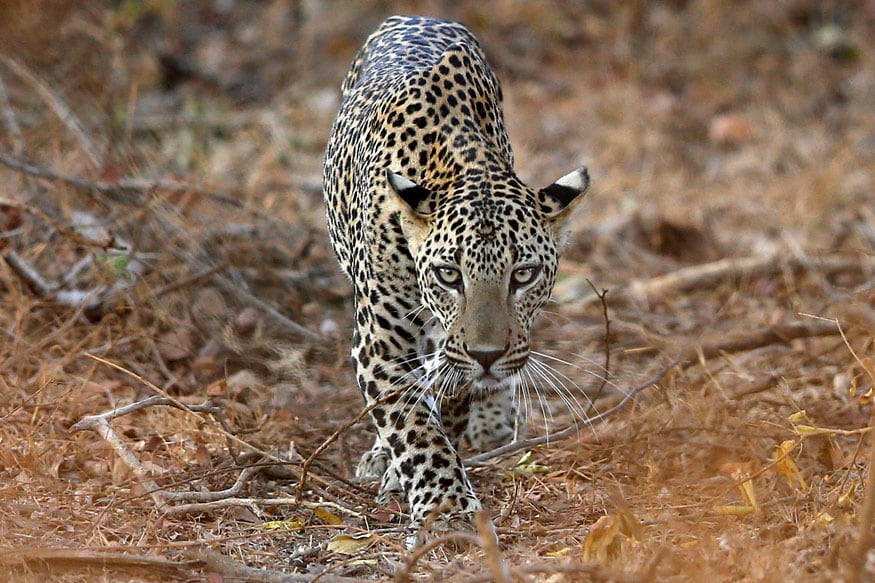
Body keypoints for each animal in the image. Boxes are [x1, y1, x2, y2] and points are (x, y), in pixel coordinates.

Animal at [322, 16, 588, 548]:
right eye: (449, 274)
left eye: (523, 275)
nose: (486, 355)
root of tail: (416, 16)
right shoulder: (380, 342)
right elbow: (415, 428)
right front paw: (443, 506)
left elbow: (449, 393)